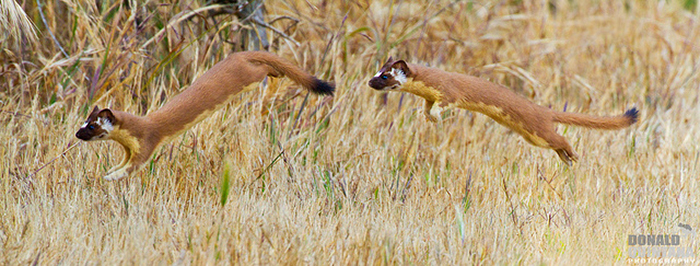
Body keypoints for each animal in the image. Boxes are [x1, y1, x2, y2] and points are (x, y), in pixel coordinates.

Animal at [76, 51, 334, 181]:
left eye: (92, 126)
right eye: (84, 121)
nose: (77, 134)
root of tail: (236, 55)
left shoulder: (147, 142)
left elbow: (134, 166)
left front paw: (112, 177)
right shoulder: (129, 148)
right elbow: (124, 161)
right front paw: (111, 170)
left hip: (249, 77)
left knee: (262, 69)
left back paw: (276, 71)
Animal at [370, 59, 636, 165]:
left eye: (385, 76)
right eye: (376, 71)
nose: (369, 82)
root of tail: (543, 110)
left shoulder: (448, 92)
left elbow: (445, 102)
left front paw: (435, 116)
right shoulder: (429, 96)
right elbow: (427, 106)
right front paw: (428, 117)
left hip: (537, 130)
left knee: (561, 138)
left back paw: (572, 155)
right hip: (533, 138)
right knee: (556, 143)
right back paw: (566, 159)